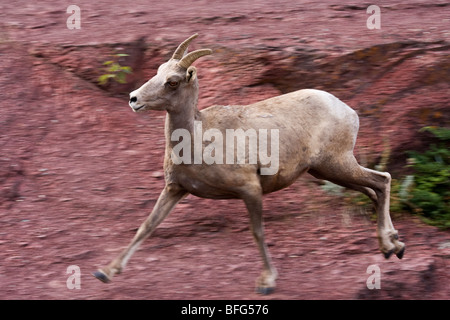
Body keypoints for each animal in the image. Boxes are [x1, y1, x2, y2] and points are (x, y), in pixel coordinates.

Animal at [93, 33, 406, 294]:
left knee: (383, 180)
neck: (198, 139)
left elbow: (257, 232)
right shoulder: (175, 189)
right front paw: (105, 272)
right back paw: (394, 245)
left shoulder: (250, 190)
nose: (133, 99)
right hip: (328, 171)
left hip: (337, 164)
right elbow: (147, 226)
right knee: (372, 190)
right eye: (157, 71)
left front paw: (267, 282)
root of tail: (347, 110)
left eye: (173, 81)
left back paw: (391, 245)